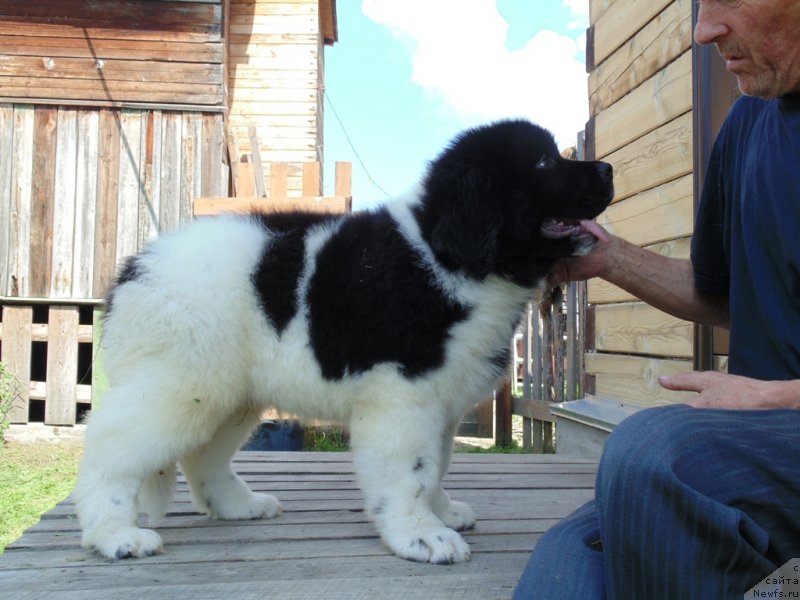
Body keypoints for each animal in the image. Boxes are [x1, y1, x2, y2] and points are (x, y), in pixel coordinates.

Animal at [75, 120, 612, 564]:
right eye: (543, 163)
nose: (607, 167)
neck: (449, 256)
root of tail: (133, 271)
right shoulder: (401, 395)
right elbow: (411, 471)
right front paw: (421, 535)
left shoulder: (440, 401)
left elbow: (437, 465)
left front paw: (440, 512)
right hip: (178, 383)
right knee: (109, 447)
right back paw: (114, 535)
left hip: (227, 393)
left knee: (202, 455)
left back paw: (237, 505)